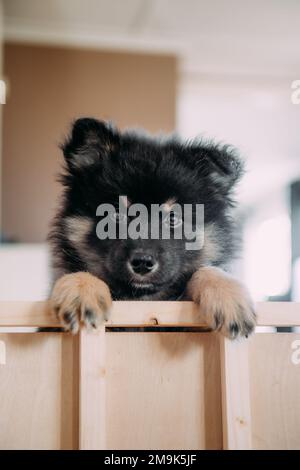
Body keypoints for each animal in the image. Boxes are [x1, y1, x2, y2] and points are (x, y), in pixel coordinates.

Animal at [48, 117, 255, 338]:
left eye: (173, 218)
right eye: (116, 214)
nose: (142, 263)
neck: (142, 299)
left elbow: (206, 269)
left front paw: (228, 294)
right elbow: (81, 271)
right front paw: (81, 291)